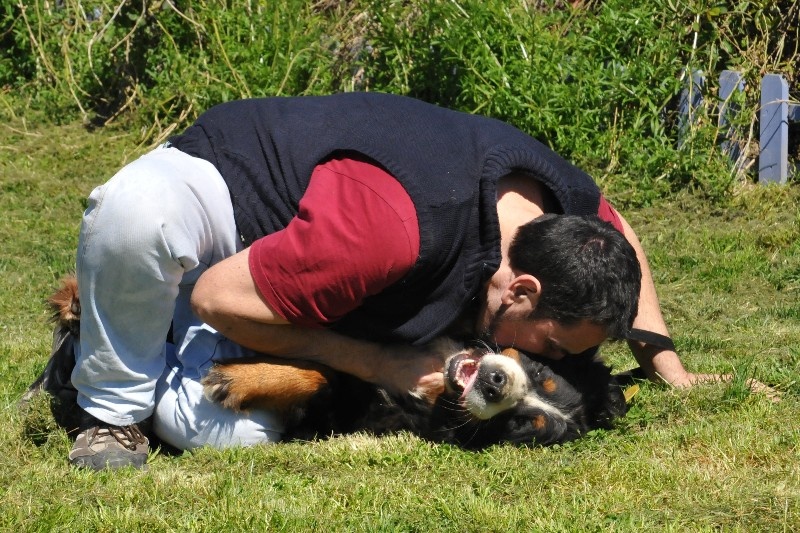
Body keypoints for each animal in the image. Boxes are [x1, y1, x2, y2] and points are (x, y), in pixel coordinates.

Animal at [32, 276, 632, 446]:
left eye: (519, 427)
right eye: (541, 374)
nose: (493, 383)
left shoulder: (354, 408)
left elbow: (317, 375)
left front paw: (236, 380)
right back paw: (75, 303)